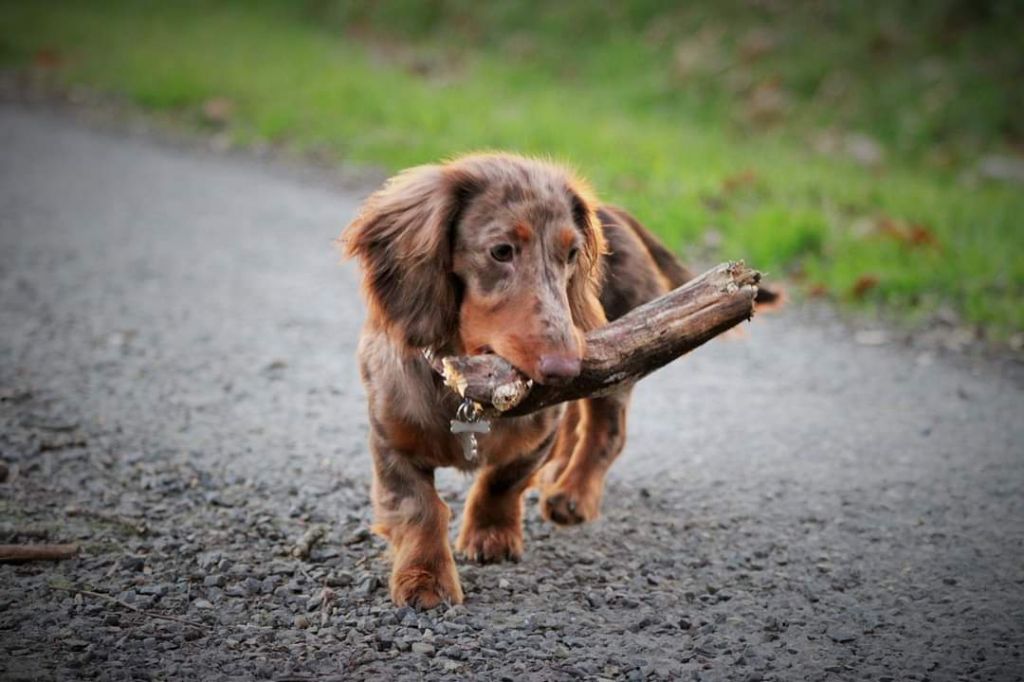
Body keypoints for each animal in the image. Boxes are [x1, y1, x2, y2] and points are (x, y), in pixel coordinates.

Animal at [344, 152, 712, 606]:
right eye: (501, 251)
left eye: (571, 253)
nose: (566, 369)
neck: (465, 391)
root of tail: (618, 213)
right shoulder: (390, 441)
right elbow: (419, 507)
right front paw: (425, 578)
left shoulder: (536, 436)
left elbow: (502, 481)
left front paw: (491, 535)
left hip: (616, 375)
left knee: (605, 434)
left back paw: (572, 493)